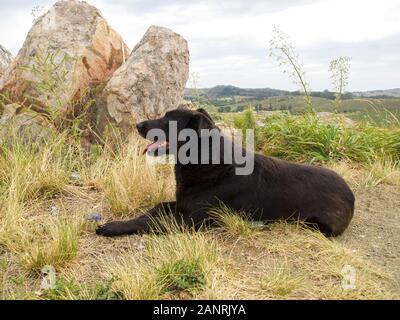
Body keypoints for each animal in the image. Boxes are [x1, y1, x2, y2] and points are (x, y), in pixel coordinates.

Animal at [96, 109, 354, 236]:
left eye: (168, 120)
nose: (137, 125)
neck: (203, 160)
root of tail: (351, 194)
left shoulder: (187, 221)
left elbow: (152, 222)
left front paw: (113, 227)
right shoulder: (180, 205)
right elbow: (154, 210)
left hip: (320, 226)